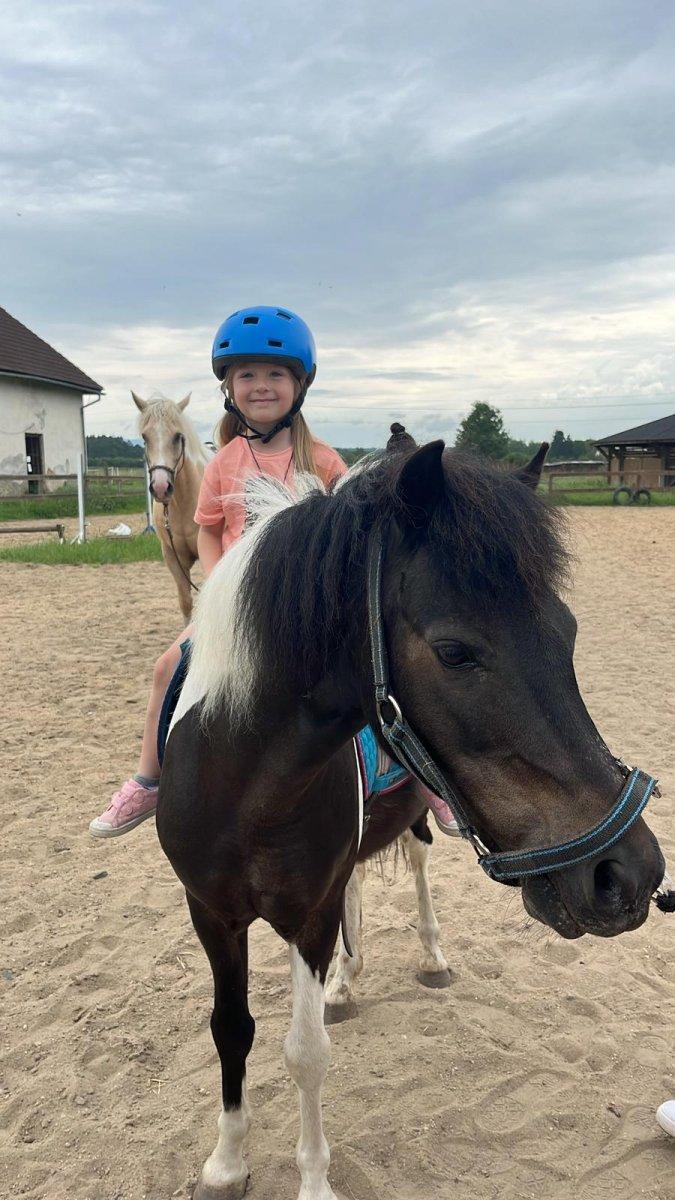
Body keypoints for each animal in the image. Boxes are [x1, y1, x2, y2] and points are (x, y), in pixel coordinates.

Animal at [157, 431, 665, 1200]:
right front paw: (226, 1162)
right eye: (454, 651)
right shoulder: (211, 912)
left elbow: (305, 1051)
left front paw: (313, 1181)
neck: (243, 788)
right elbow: (231, 1029)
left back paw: (427, 957)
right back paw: (345, 981)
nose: (629, 874)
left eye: (568, 632)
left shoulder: (309, 916)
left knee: (418, 867)